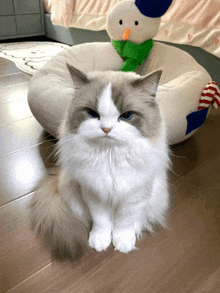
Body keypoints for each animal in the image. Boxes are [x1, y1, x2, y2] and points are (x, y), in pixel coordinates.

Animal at [28, 63, 170, 260]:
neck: (110, 156)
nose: (106, 129)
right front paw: (100, 241)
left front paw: (123, 242)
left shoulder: (134, 196)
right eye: (92, 113)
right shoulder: (94, 195)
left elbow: (124, 223)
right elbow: (101, 222)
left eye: (126, 116)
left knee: (140, 219)